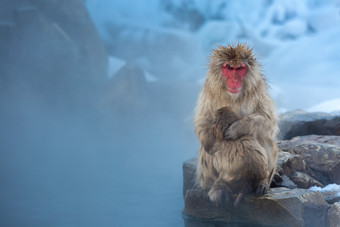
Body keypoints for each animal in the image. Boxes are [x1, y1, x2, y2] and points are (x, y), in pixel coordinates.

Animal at [194, 43, 278, 207]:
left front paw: (238, 127)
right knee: (205, 147)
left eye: (239, 69)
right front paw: (214, 142)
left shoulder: (258, 88)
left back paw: (262, 183)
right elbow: (202, 121)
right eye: (228, 67)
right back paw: (217, 187)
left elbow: (267, 120)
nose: (234, 80)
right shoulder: (208, 90)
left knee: (263, 136)